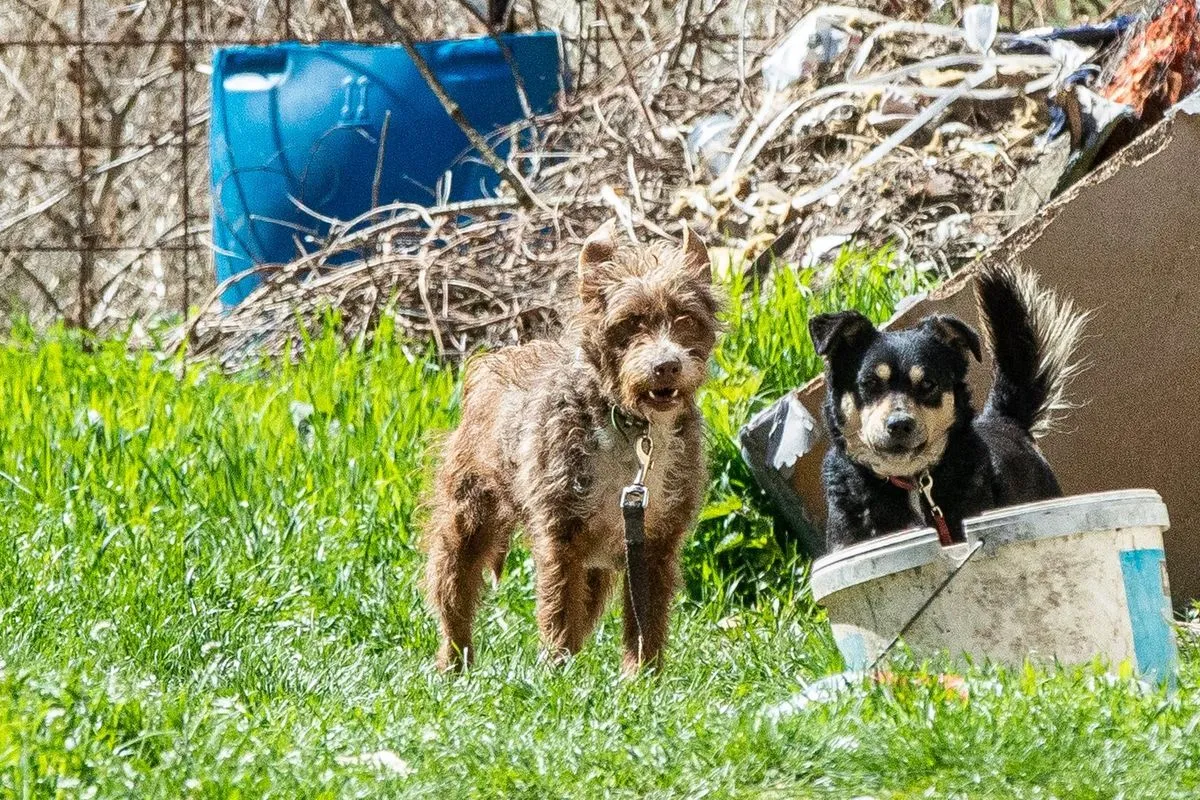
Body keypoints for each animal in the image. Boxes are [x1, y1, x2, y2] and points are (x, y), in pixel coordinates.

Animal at [424, 221, 718, 673]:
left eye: (686, 318)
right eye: (631, 322)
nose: (666, 365)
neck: (634, 430)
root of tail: (494, 362)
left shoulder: (654, 546)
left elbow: (646, 619)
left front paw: (641, 677)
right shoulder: (562, 537)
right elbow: (558, 609)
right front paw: (554, 675)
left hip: (594, 570)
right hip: (467, 523)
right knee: (454, 596)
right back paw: (455, 665)